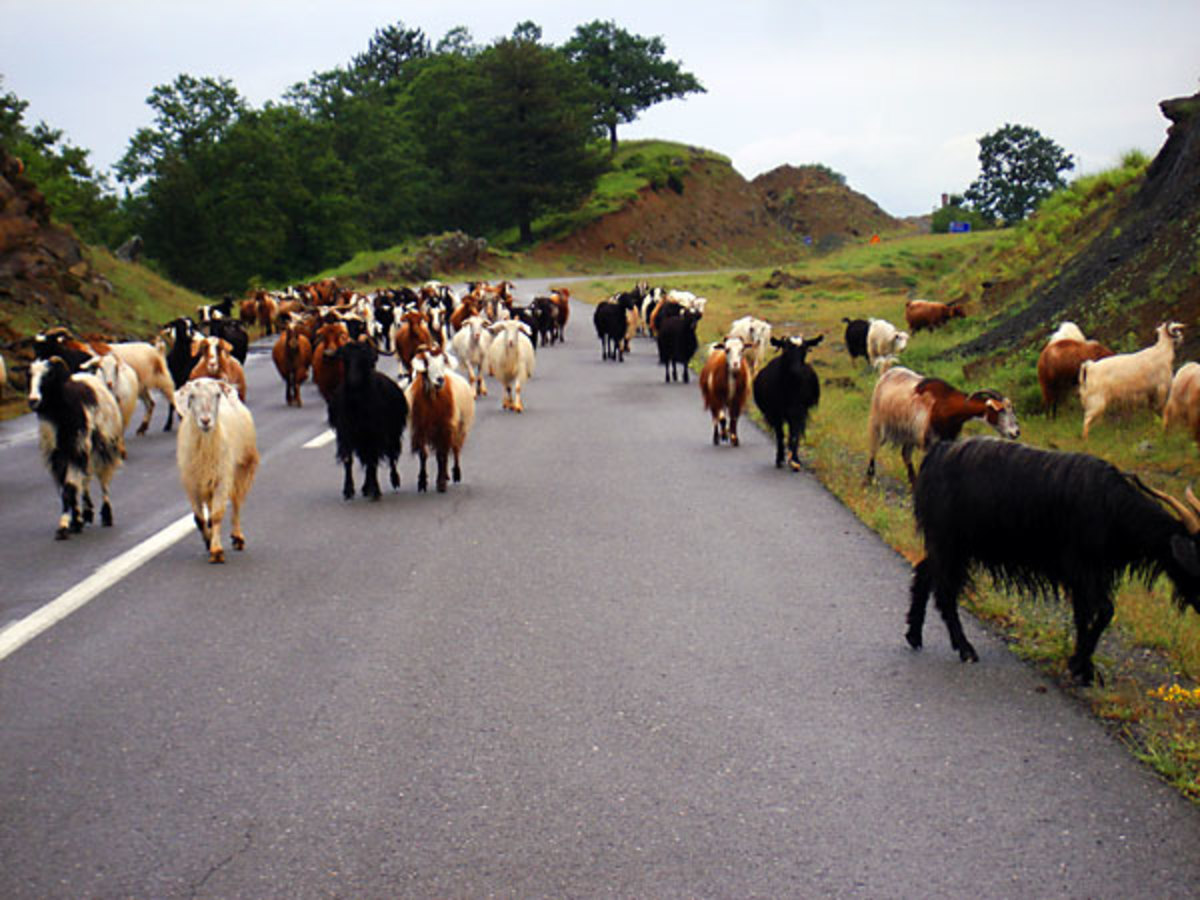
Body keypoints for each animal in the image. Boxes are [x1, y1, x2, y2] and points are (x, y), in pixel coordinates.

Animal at [172, 374, 256, 564]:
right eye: (192, 396)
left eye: (217, 395)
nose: (205, 421)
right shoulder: (192, 484)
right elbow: (199, 518)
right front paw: (208, 540)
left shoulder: (222, 479)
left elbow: (218, 514)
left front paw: (216, 551)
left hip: (241, 469)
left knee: (237, 503)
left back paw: (237, 537)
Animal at [326, 343, 410, 504]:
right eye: (345, 359)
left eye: (364, 360)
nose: (354, 380)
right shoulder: (346, 435)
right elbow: (349, 461)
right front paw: (348, 490)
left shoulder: (375, 436)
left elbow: (373, 462)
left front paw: (375, 490)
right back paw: (366, 487)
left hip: (392, 435)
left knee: (391, 457)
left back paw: (393, 481)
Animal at [748, 333, 825, 472]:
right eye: (786, 349)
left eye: (804, 349)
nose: (797, 371)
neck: (790, 388)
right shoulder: (776, 412)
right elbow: (780, 435)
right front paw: (780, 458)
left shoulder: (800, 411)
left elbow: (795, 434)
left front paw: (795, 460)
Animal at [902, 436, 1200, 681]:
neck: (1112, 509)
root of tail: (937, 453)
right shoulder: (1082, 570)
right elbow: (1100, 612)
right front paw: (1081, 666)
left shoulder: (1091, 576)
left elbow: (1089, 615)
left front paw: (1084, 666)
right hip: (950, 543)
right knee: (945, 592)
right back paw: (965, 649)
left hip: (949, 546)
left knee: (926, 572)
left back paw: (914, 634)